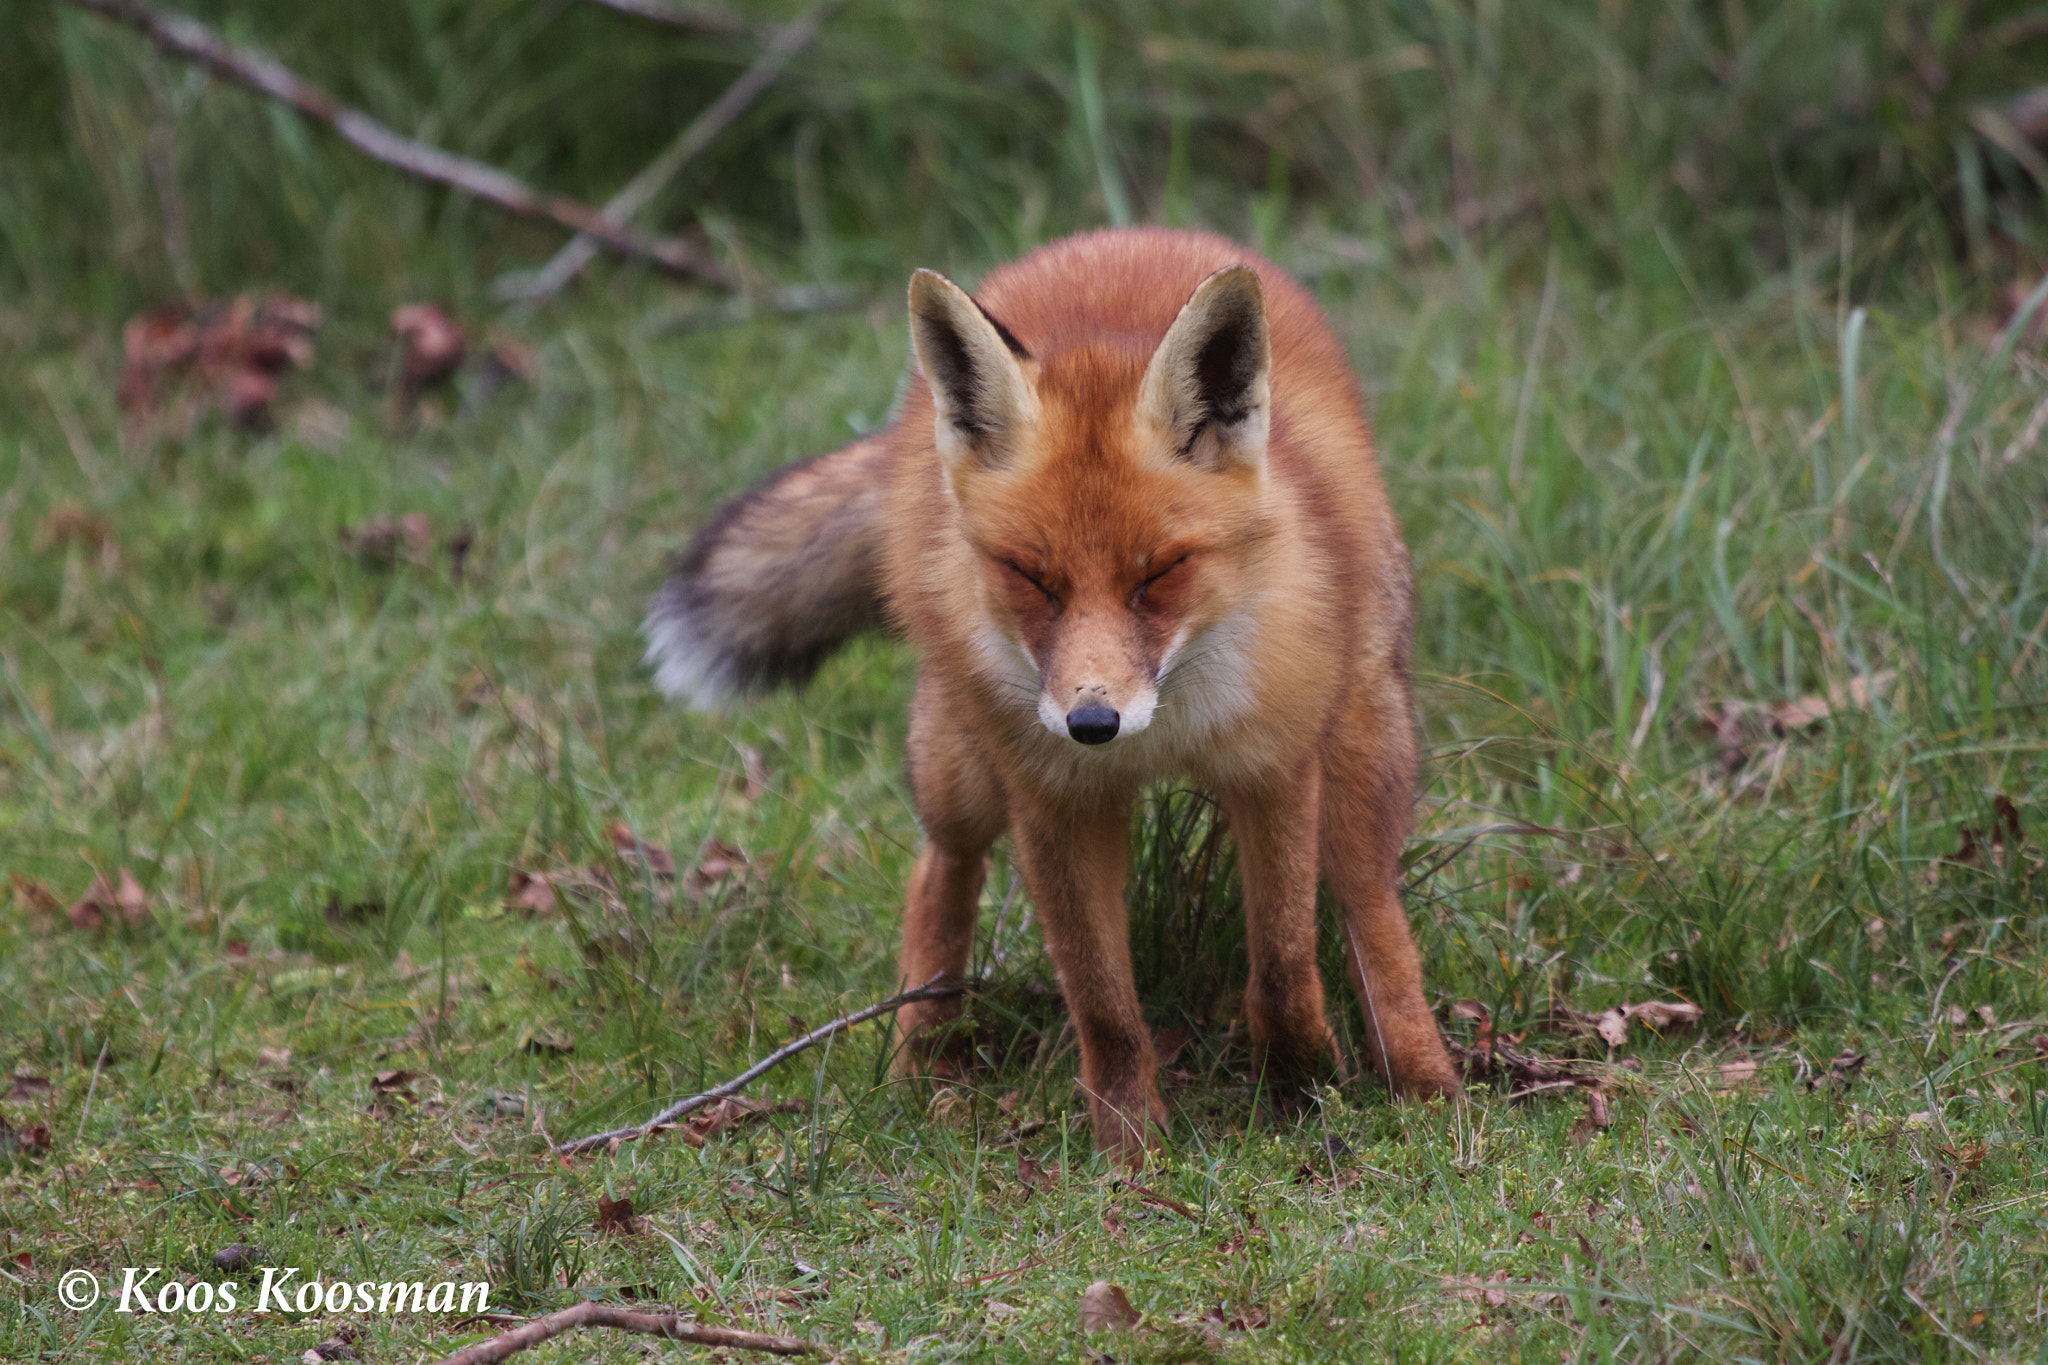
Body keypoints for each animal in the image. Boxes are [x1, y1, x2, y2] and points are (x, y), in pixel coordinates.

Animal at [646, 227, 1460, 1160]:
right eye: (1032, 577)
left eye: (1159, 573)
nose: (1092, 722)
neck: (1165, 729)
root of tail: (1119, 235)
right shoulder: (1054, 799)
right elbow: (1104, 1003)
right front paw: (1130, 1147)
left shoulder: (1273, 769)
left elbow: (1285, 964)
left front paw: (1299, 1073)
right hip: (961, 764)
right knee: (940, 871)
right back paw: (923, 1058)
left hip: (1363, 738)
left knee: (1369, 900)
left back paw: (1422, 1078)